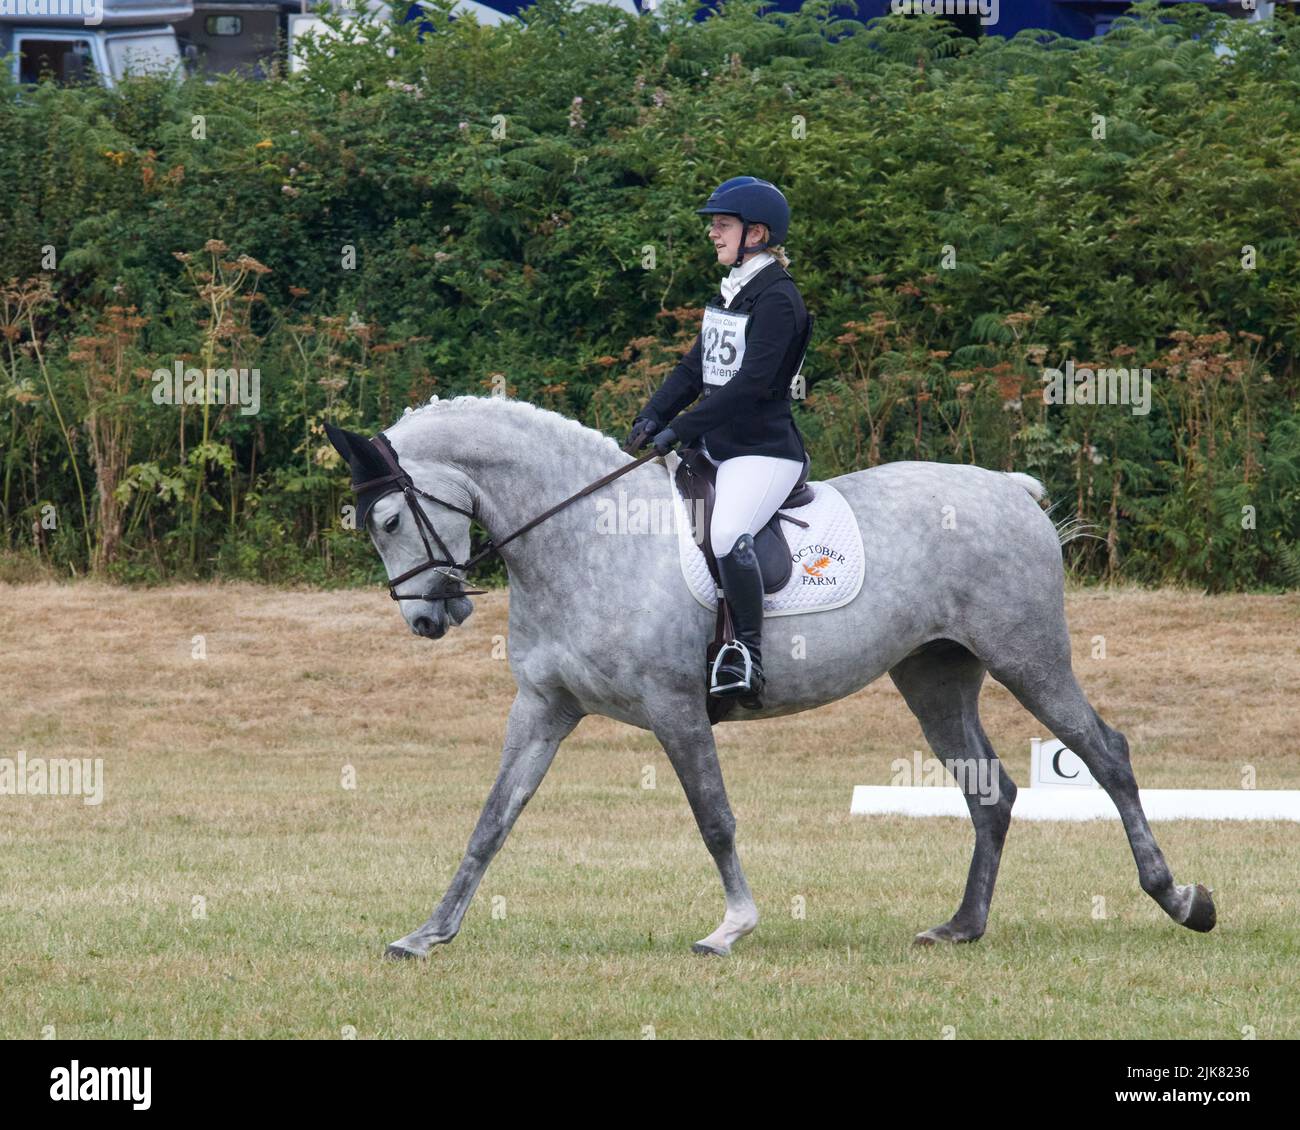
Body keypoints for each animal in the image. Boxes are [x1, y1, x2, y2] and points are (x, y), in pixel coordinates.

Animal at [327, 392, 1216, 957]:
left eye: (389, 517)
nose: (427, 618)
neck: (586, 538)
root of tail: (1008, 486)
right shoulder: (544, 707)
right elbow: (492, 821)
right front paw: (428, 934)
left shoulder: (675, 707)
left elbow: (714, 818)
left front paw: (732, 928)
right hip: (934, 675)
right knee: (989, 790)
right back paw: (961, 927)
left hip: (1026, 656)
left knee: (1105, 753)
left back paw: (1181, 898)